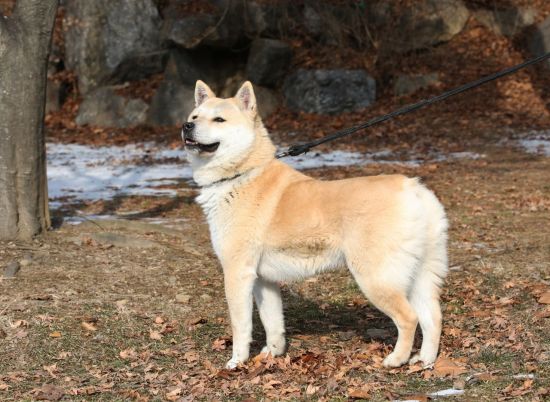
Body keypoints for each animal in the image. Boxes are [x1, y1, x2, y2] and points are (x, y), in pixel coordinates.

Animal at [183, 80, 450, 370]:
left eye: (219, 119)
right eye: (194, 117)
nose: (186, 127)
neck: (242, 174)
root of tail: (413, 189)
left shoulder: (237, 273)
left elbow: (241, 326)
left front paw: (237, 362)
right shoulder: (264, 280)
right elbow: (273, 323)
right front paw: (271, 355)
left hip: (375, 278)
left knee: (409, 318)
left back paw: (396, 359)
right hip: (420, 275)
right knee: (433, 318)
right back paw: (425, 360)